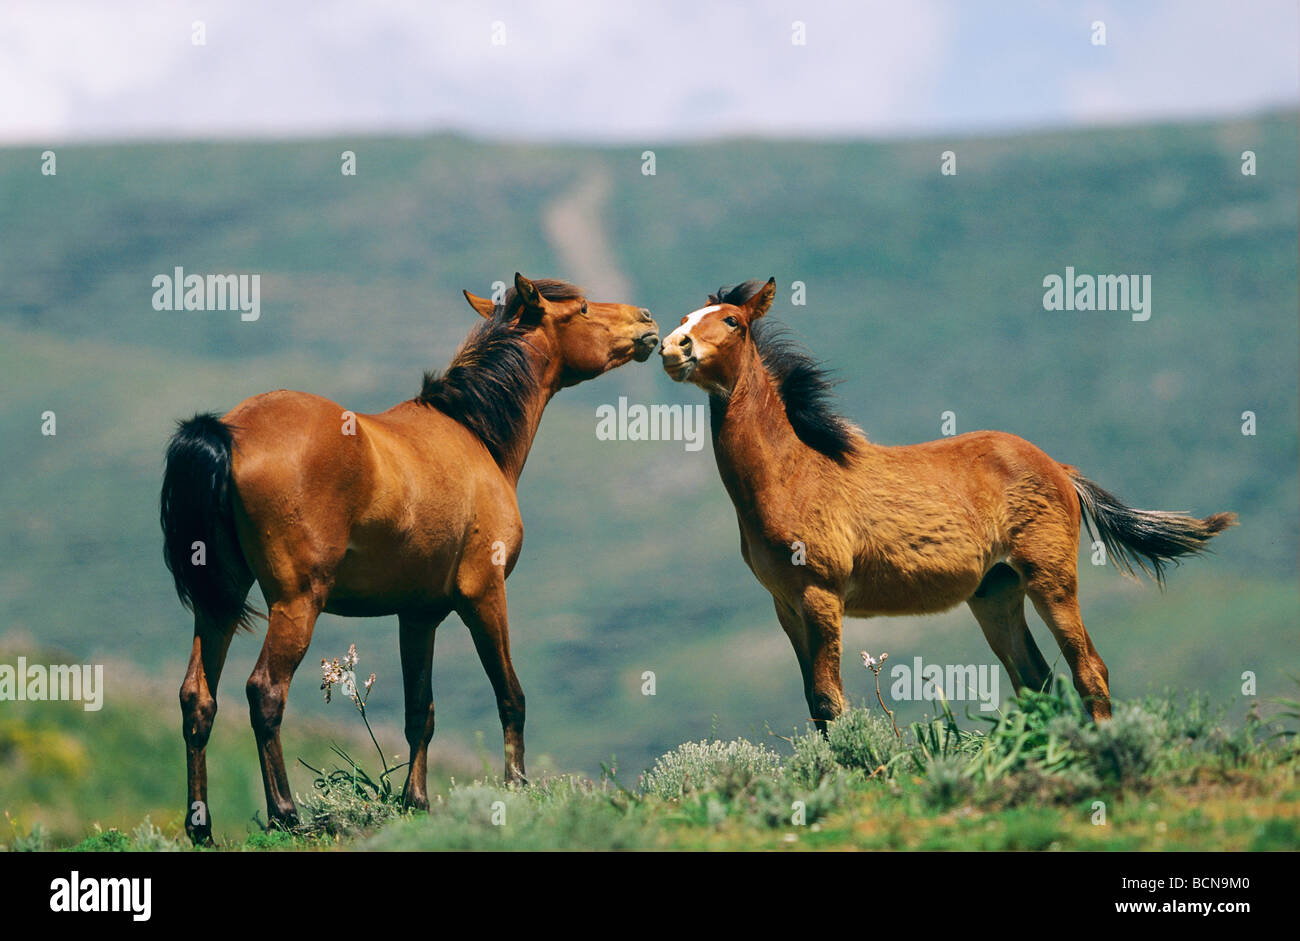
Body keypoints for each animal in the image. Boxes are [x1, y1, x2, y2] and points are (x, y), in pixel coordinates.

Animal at [162, 275, 660, 842]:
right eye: (581, 309)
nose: (646, 320)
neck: (473, 434)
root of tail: (227, 430)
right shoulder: (484, 593)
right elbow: (510, 695)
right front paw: (516, 788)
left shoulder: (418, 615)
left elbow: (420, 710)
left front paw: (416, 800)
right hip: (296, 603)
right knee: (264, 693)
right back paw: (287, 815)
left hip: (220, 604)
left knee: (198, 700)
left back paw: (201, 827)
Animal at [665, 280, 1232, 733]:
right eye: (684, 317)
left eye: (733, 322)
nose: (673, 347)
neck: (792, 474)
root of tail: (1059, 468)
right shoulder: (784, 603)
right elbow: (815, 706)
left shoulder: (820, 594)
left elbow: (830, 702)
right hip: (995, 591)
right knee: (1035, 679)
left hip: (1049, 578)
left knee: (1088, 668)